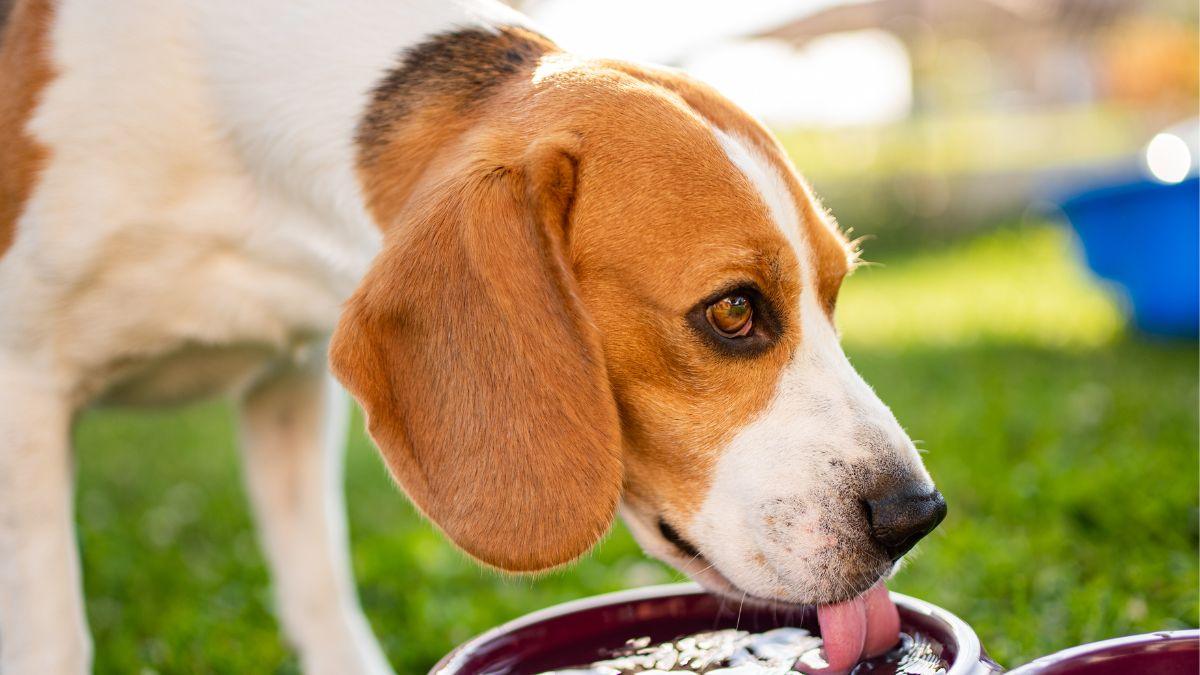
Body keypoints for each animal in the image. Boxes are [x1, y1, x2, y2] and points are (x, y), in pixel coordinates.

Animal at [0, 0, 945, 667]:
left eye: (835, 292)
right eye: (734, 310)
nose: (917, 515)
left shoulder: (289, 388)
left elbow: (323, 603)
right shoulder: (24, 395)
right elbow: (54, 637)